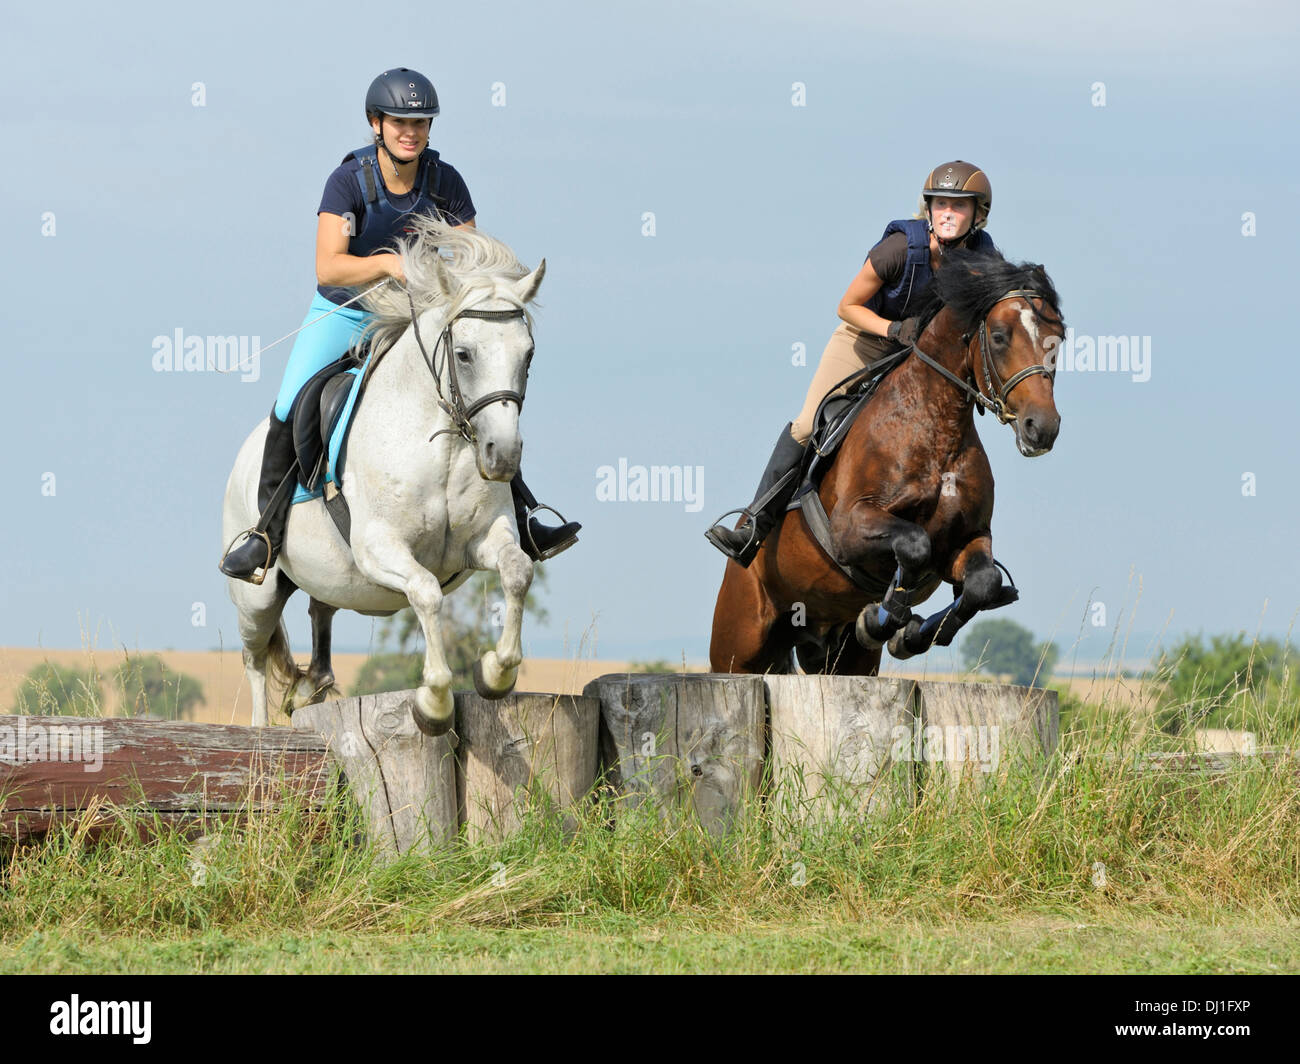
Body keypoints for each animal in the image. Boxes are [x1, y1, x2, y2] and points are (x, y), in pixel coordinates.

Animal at [223, 215, 543, 728]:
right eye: (464, 354)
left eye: (528, 355)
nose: (502, 457)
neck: (443, 448)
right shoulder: (379, 548)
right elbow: (427, 592)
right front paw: (434, 702)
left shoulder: (485, 539)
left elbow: (517, 572)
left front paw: (496, 673)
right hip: (257, 592)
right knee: (254, 657)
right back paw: (259, 729)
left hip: (323, 578)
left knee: (321, 612)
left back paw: (310, 687)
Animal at [712, 251, 1066, 671]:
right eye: (998, 336)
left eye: (1058, 340)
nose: (1042, 428)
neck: (937, 431)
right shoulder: (849, 527)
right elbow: (913, 544)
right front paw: (884, 619)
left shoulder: (967, 538)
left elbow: (983, 583)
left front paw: (910, 633)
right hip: (739, 645)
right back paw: (740, 536)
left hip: (842, 657)